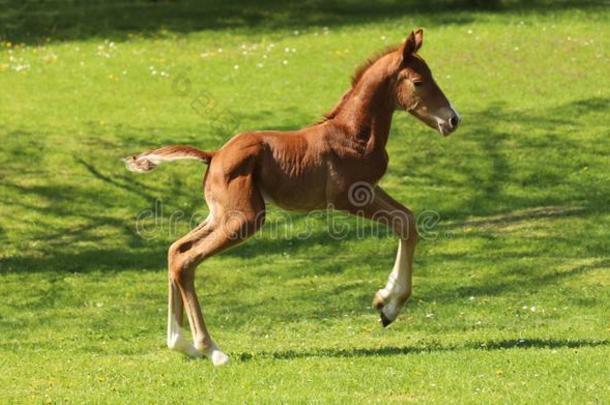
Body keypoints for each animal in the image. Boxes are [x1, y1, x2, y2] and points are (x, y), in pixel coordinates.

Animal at [126, 30, 458, 364]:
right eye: (419, 81)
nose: (453, 120)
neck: (353, 133)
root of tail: (214, 154)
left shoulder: (372, 188)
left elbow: (408, 221)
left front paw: (385, 305)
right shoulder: (350, 196)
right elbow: (403, 223)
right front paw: (387, 304)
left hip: (220, 215)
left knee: (175, 250)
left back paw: (181, 343)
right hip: (245, 218)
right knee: (187, 260)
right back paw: (212, 349)